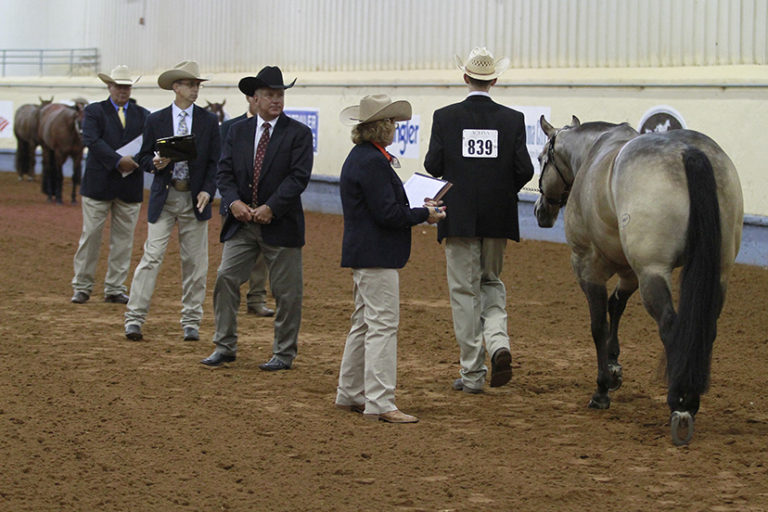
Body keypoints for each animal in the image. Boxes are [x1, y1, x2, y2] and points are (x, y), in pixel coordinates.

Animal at [536, 116, 744, 444]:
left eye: (542, 158)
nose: (541, 211)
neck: (594, 152)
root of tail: (689, 152)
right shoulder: (629, 272)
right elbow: (616, 305)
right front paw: (614, 367)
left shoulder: (588, 267)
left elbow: (598, 324)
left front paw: (602, 388)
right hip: (718, 273)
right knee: (706, 329)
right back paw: (690, 398)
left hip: (653, 272)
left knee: (670, 326)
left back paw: (680, 404)